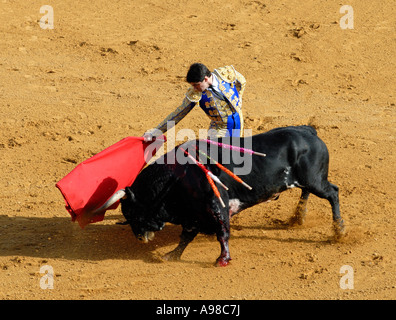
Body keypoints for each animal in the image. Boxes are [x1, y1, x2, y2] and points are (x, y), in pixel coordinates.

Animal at [110, 126, 344, 266]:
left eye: (133, 213)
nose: (140, 238)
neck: (177, 176)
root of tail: (308, 131)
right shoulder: (193, 214)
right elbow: (186, 236)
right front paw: (172, 255)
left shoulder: (216, 206)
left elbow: (222, 234)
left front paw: (222, 260)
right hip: (308, 180)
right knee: (308, 192)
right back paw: (298, 217)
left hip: (315, 180)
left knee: (333, 193)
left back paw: (339, 230)